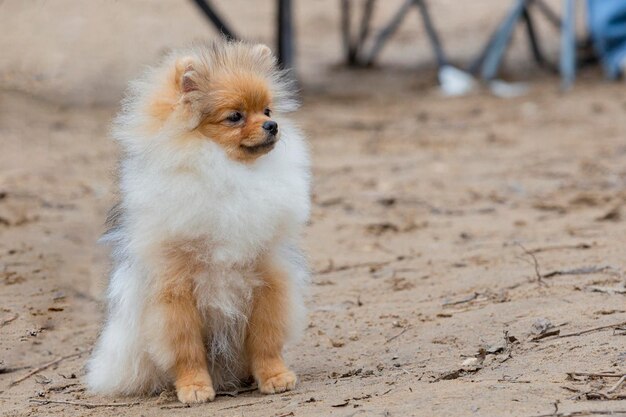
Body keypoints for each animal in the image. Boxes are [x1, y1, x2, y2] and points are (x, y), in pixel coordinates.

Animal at [86, 40, 310, 402]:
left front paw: (275, 376)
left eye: (267, 111)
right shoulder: (176, 287)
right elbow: (186, 348)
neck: (230, 172)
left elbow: (266, 339)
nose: (273, 126)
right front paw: (194, 387)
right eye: (235, 116)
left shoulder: (267, 277)